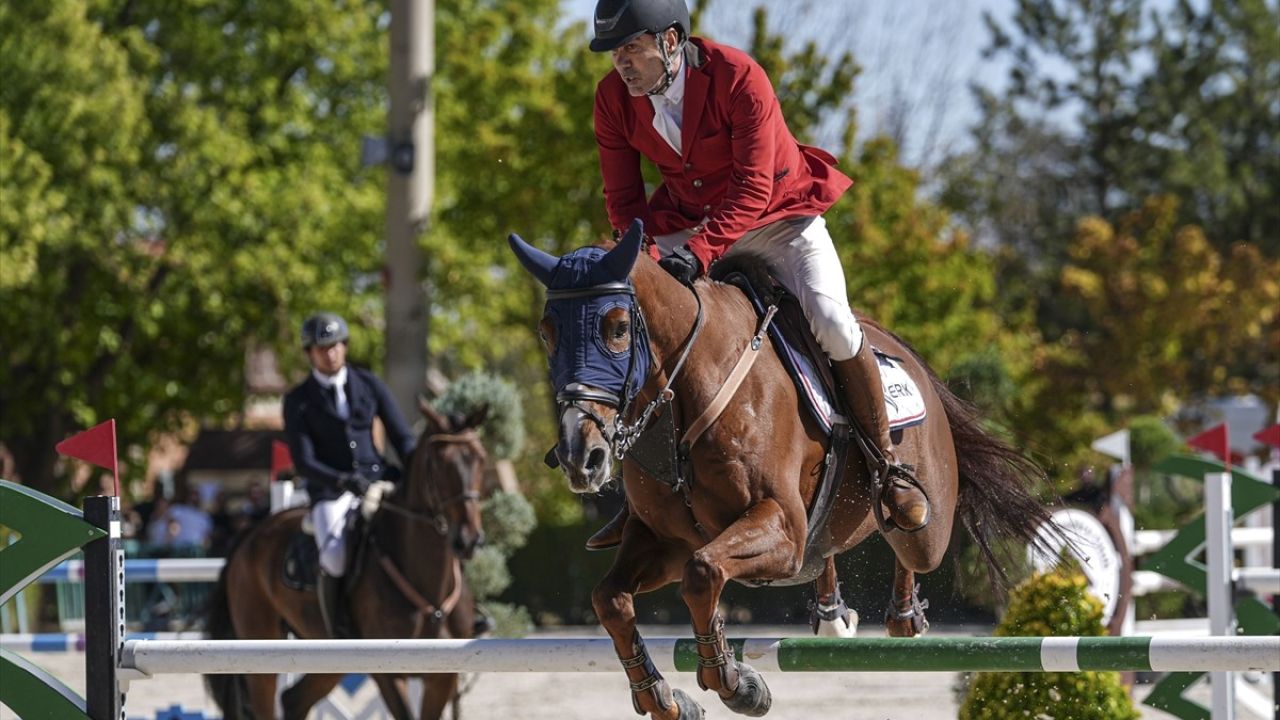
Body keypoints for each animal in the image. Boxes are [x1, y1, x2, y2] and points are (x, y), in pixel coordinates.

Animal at [207, 397, 486, 717]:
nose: (469, 539)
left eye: (481, 459)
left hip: (326, 653)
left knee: (294, 699)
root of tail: (251, 534)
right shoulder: (390, 674)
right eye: (438, 464)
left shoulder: (443, 676)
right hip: (261, 648)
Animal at [509, 220, 1059, 717]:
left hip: (926, 527)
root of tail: (910, 360)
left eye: (619, 329)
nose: (579, 457)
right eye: (547, 333)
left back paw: (905, 593)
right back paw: (833, 612)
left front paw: (737, 684)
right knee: (826, 548)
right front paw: (661, 696)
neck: (684, 396)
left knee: (909, 540)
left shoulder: (777, 526)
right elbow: (611, 599)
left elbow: (703, 574)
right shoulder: (665, 539)